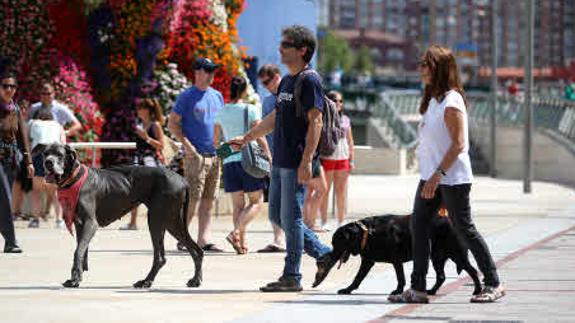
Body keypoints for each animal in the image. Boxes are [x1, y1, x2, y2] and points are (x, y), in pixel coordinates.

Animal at [42, 144, 202, 288]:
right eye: (45, 153)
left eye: (60, 155)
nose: (48, 163)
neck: (74, 178)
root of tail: (182, 180)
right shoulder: (79, 224)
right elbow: (81, 250)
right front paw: (76, 276)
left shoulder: (90, 223)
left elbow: (78, 251)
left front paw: (75, 279)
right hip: (170, 221)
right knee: (196, 250)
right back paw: (193, 280)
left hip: (160, 220)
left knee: (162, 257)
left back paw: (147, 281)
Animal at [312, 215, 484, 296]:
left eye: (336, 243)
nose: (330, 255)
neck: (368, 232)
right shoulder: (368, 261)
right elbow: (358, 277)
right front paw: (348, 289)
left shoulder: (396, 260)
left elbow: (400, 277)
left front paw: (398, 291)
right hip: (437, 257)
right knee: (441, 276)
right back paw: (432, 291)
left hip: (456, 254)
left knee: (473, 270)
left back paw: (477, 290)